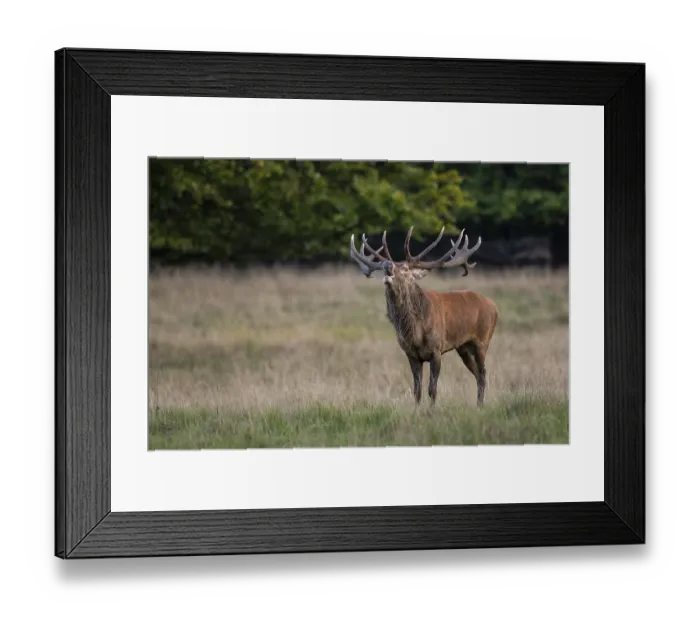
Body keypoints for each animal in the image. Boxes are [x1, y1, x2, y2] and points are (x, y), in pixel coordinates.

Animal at [349, 226, 499, 407]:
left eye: (406, 269)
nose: (387, 265)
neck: (416, 332)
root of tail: (494, 306)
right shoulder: (411, 354)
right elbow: (417, 390)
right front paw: (416, 410)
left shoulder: (436, 350)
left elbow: (432, 389)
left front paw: (431, 411)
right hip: (463, 347)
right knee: (477, 374)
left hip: (482, 341)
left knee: (483, 374)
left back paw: (480, 406)